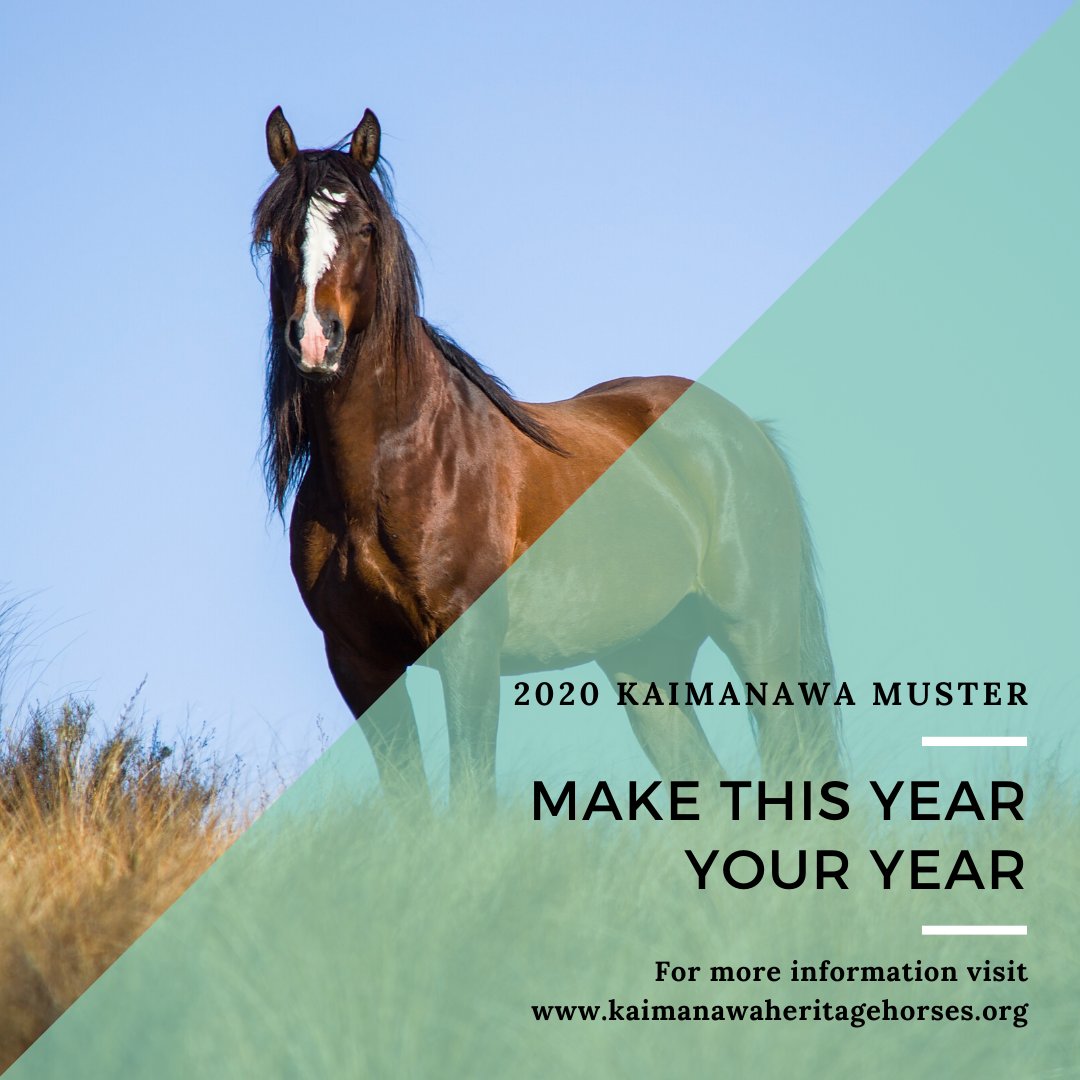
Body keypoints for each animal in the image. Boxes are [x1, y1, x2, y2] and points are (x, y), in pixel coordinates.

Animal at [253, 106, 842, 804]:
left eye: (365, 228)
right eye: (277, 232)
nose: (316, 341)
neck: (389, 470)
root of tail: (744, 432)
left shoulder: (470, 649)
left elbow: (471, 796)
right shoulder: (360, 663)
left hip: (760, 639)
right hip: (647, 666)